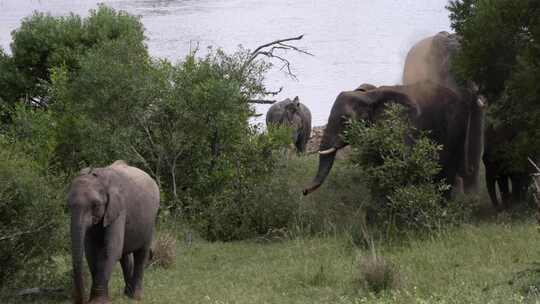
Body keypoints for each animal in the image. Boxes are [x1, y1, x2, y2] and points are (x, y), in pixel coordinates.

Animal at [68, 160, 160, 302]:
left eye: (96, 205)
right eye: (68, 205)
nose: (80, 300)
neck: (100, 178)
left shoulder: (119, 208)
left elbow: (111, 250)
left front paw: (97, 301)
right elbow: (91, 251)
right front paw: (94, 299)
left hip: (151, 220)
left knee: (141, 254)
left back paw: (135, 297)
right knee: (125, 257)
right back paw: (127, 293)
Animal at [304, 80, 476, 197]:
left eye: (345, 121)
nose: (304, 191)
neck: (368, 96)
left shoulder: (404, 124)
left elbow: (401, 161)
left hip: (457, 128)